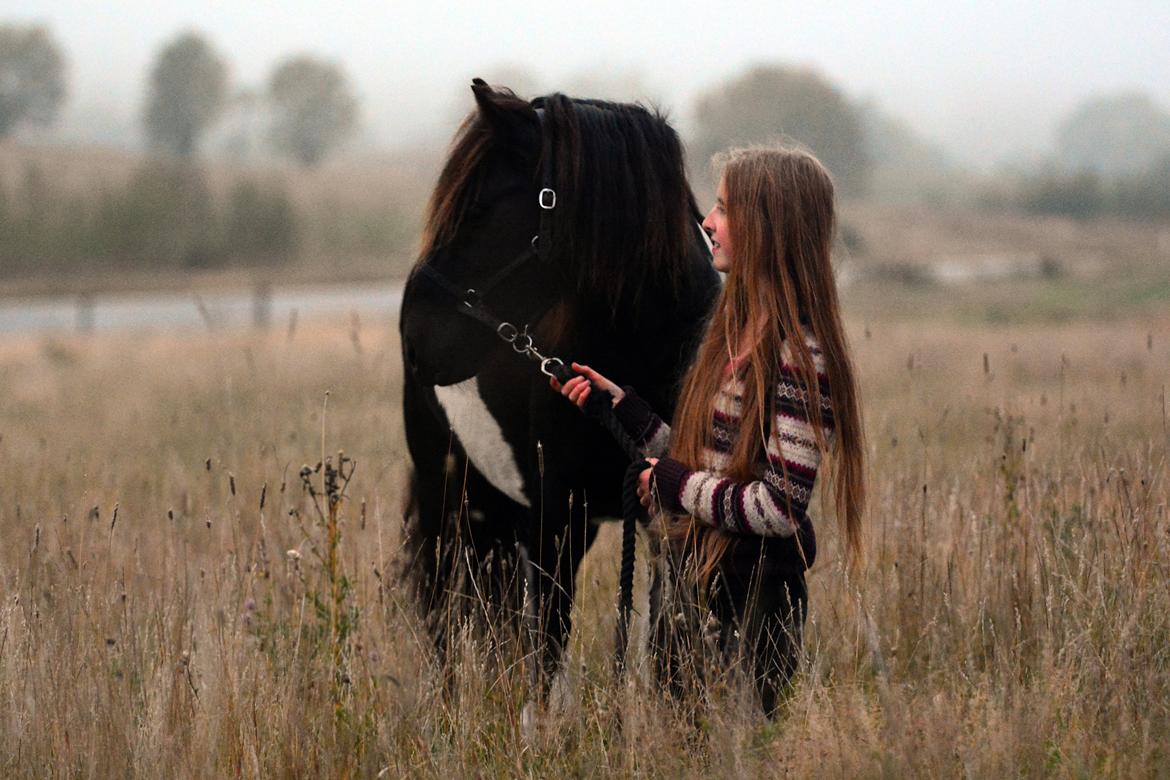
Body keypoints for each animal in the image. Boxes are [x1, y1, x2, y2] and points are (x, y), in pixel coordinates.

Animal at [397, 82, 716, 687]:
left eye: (478, 209)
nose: (412, 336)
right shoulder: (555, 519)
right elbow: (546, 649)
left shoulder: (670, 516)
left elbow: (669, 647)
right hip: (446, 487)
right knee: (445, 613)